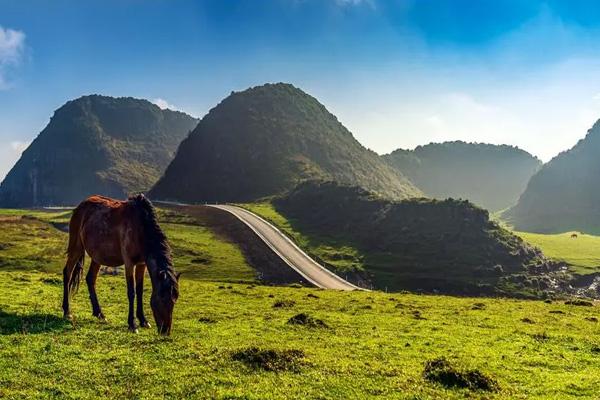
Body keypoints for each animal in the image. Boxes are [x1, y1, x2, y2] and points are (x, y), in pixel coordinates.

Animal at [63, 194, 180, 334]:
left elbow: (140, 291)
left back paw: (99, 313)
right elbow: (131, 292)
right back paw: (67, 311)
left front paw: (143, 320)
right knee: (67, 274)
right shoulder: (129, 263)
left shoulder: (141, 264)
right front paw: (132, 324)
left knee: (90, 279)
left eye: (174, 300)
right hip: (76, 248)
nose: (165, 331)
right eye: (162, 298)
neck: (141, 229)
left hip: (97, 256)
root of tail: (81, 205)